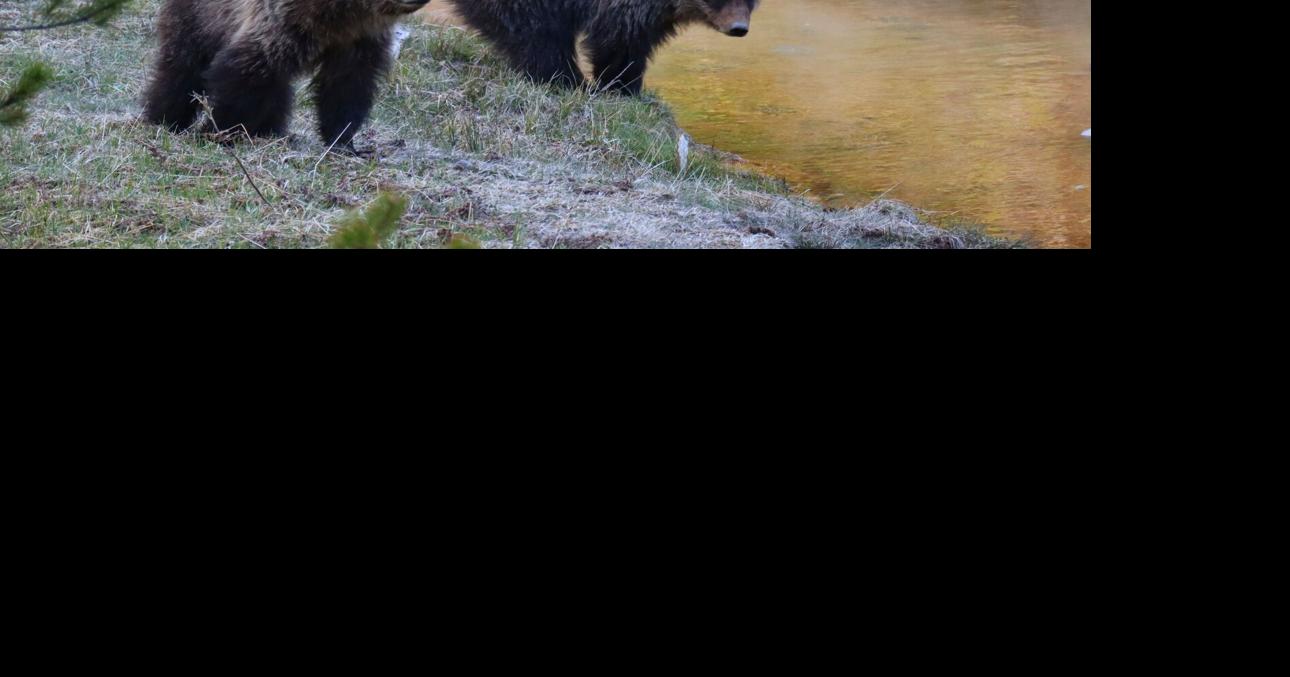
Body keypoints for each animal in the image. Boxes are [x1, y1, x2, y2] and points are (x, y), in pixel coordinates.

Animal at [142, 0, 430, 151]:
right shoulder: (286, 20)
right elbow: (248, 69)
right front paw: (218, 130)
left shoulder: (358, 39)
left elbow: (347, 86)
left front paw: (344, 142)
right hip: (199, 17)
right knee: (182, 70)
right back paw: (165, 118)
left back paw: (271, 130)